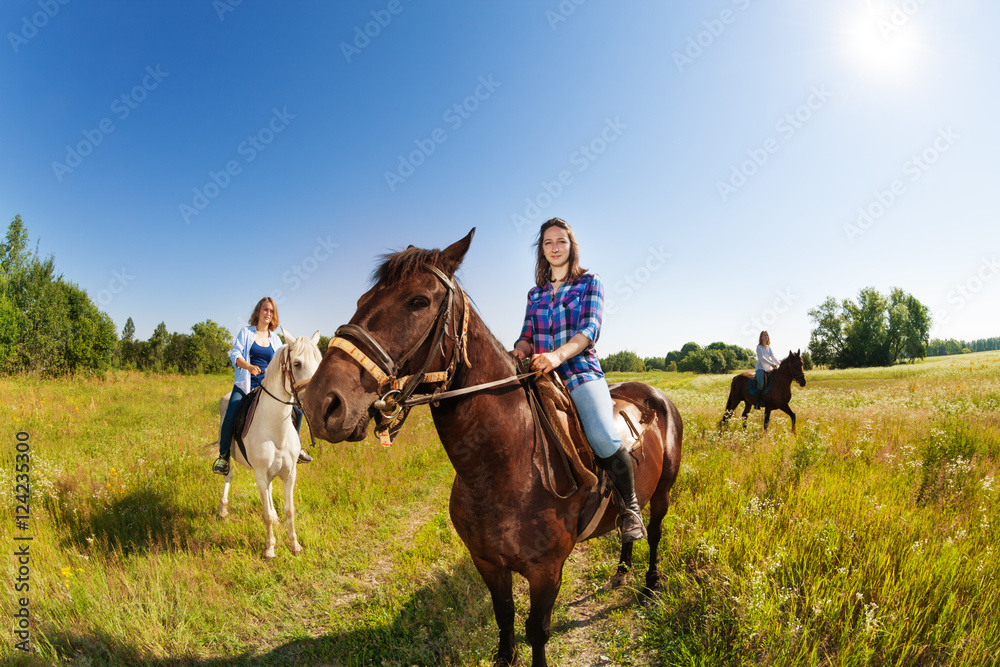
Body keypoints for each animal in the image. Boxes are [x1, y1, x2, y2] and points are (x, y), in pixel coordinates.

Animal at [217, 328, 322, 560]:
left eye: (320, 363)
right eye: (297, 363)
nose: (316, 399)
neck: (276, 430)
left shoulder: (290, 474)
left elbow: (289, 510)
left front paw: (295, 545)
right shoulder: (260, 475)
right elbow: (264, 514)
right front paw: (270, 548)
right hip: (230, 457)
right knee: (228, 476)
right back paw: (223, 510)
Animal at [300, 231, 684, 667]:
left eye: (418, 301)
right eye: (363, 299)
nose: (321, 401)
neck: (501, 468)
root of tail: (654, 395)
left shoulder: (546, 571)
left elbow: (537, 630)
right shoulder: (487, 563)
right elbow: (505, 616)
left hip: (663, 492)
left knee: (654, 533)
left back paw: (650, 585)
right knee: (626, 535)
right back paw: (621, 572)